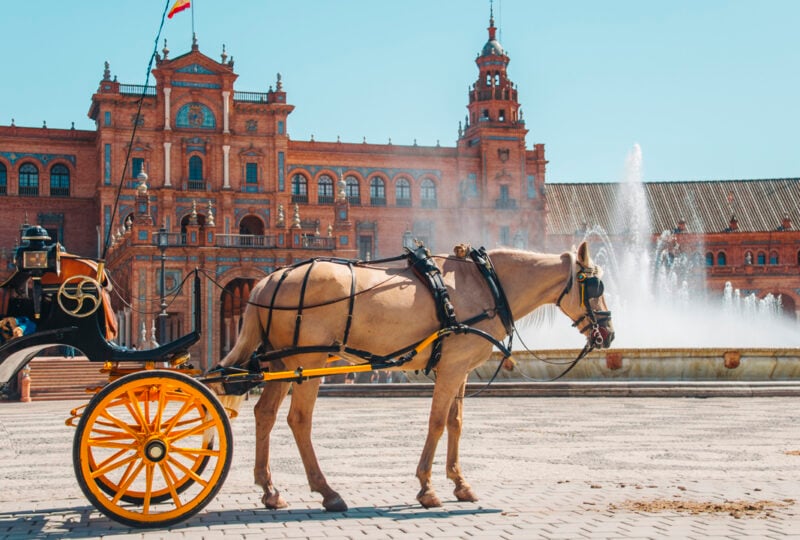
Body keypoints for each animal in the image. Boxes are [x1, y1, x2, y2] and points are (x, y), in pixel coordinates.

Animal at [212, 240, 612, 510]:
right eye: (595, 286)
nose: (607, 334)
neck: (485, 284)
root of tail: (269, 280)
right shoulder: (450, 370)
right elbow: (436, 422)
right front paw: (427, 488)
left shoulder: (459, 368)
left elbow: (455, 423)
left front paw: (460, 483)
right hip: (309, 363)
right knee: (298, 419)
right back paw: (327, 491)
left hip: (283, 365)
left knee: (265, 414)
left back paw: (270, 490)